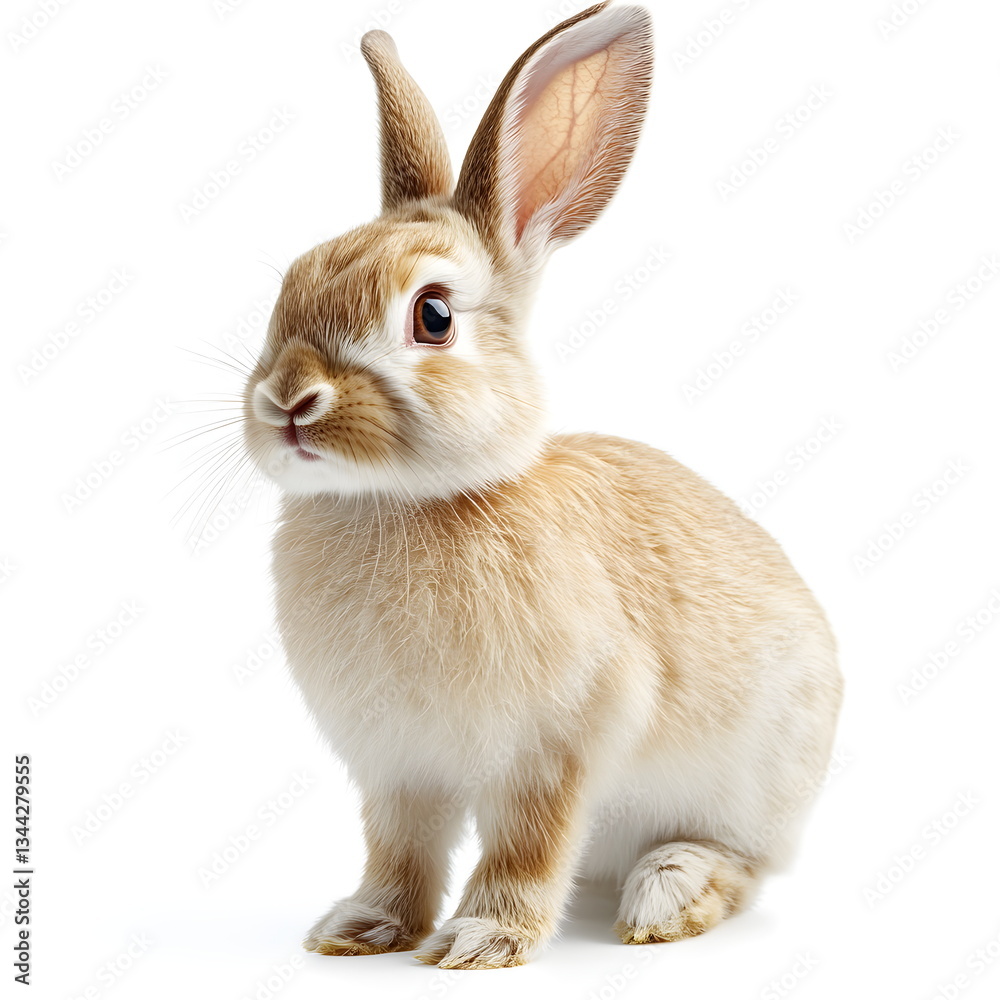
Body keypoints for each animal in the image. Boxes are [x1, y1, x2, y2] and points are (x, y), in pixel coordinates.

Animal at [240, 0, 843, 970]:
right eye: (289, 287)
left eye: (433, 316)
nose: (288, 399)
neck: (401, 503)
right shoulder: (397, 770)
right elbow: (398, 849)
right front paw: (361, 928)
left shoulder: (559, 743)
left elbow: (527, 843)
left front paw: (481, 941)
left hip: (755, 782)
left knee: (742, 864)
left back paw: (669, 893)